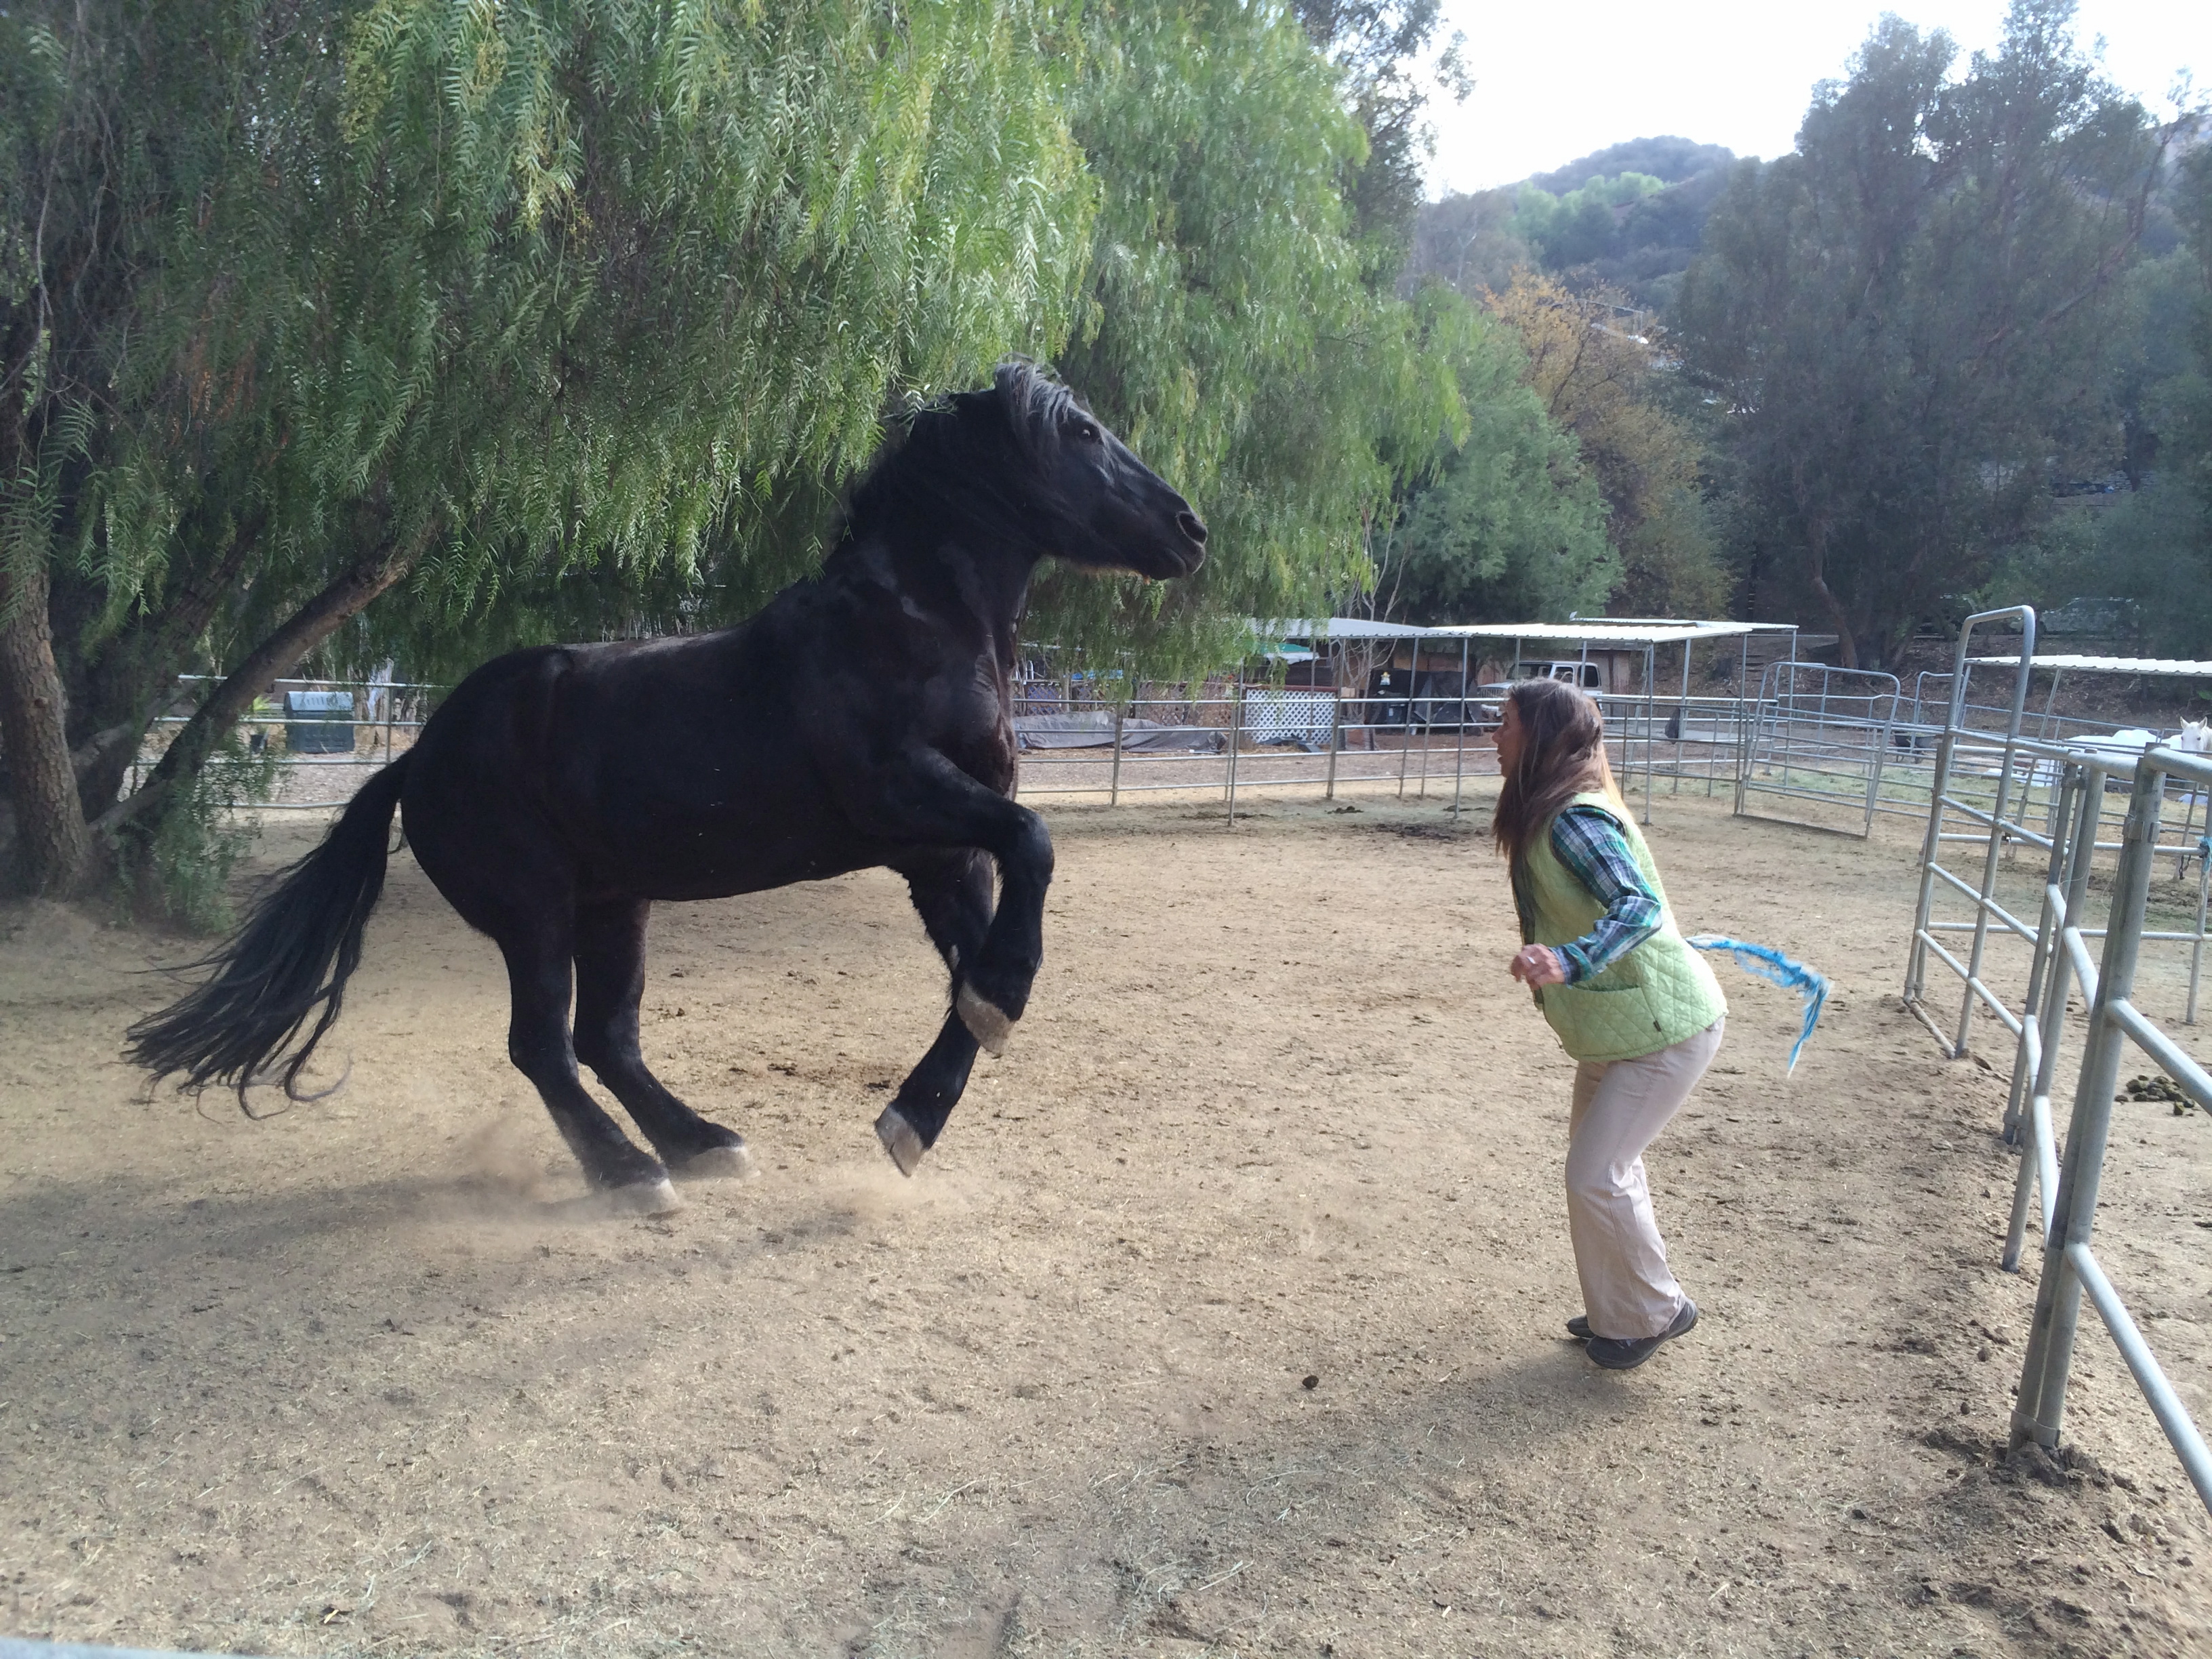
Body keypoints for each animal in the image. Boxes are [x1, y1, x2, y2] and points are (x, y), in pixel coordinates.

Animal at [127, 363, 1208, 1214]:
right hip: (535, 908)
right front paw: (996, 1007)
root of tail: (417, 757)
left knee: (607, 1040)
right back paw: (631, 1177)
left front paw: (921, 1107)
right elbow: (1035, 844)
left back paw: (700, 1146)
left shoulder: (938, 857)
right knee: (545, 1047)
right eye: (1080, 431)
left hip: (617, 904)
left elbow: (971, 970)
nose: (1191, 530)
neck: (911, 627)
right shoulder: (906, 798)